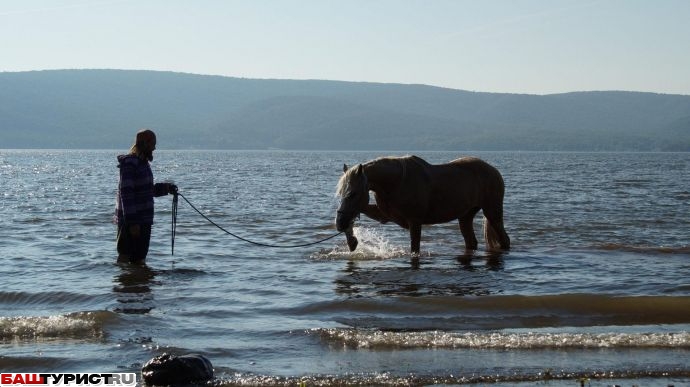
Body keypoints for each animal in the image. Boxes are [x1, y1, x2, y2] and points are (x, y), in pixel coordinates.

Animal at [336, 155, 508, 255]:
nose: (339, 224)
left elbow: (415, 249)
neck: (396, 183)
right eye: (341, 193)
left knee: (504, 240)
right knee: (471, 242)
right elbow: (361, 208)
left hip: (492, 212)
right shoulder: (384, 215)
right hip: (465, 216)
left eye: (353, 193)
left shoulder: (415, 222)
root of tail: (493, 170)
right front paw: (352, 241)